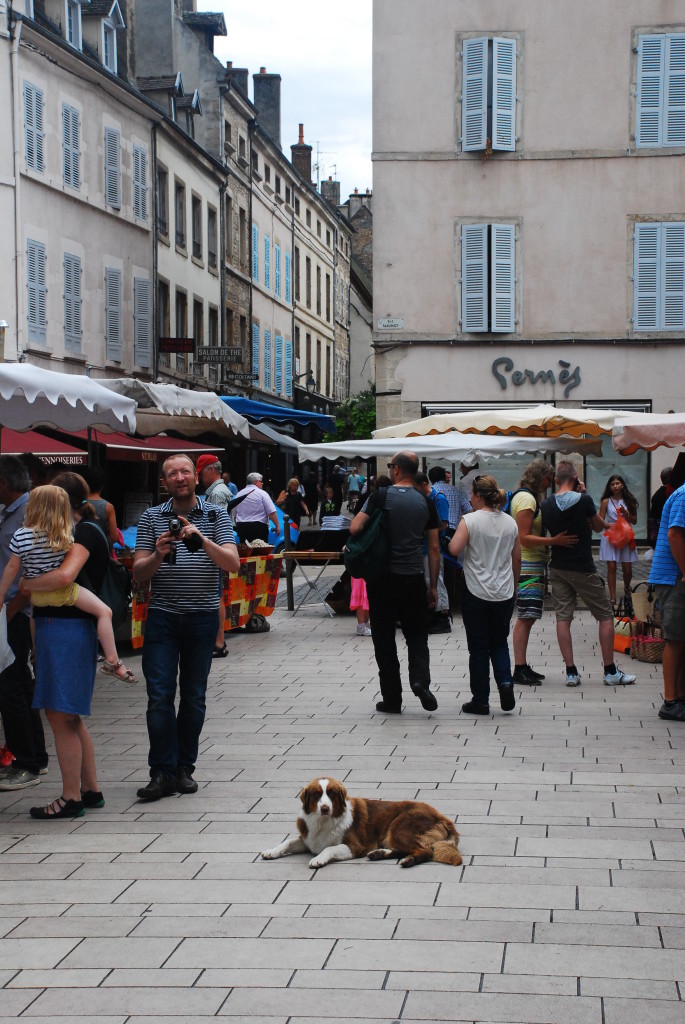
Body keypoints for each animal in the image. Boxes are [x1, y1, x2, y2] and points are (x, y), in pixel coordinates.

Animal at [259, 778, 462, 868]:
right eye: (317, 795)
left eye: (331, 794)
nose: (324, 808)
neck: (323, 822)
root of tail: (443, 817)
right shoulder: (308, 839)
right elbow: (288, 841)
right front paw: (271, 851)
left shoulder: (354, 846)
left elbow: (329, 848)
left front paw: (318, 859)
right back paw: (378, 854)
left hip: (399, 826)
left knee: (425, 851)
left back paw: (407, 860)